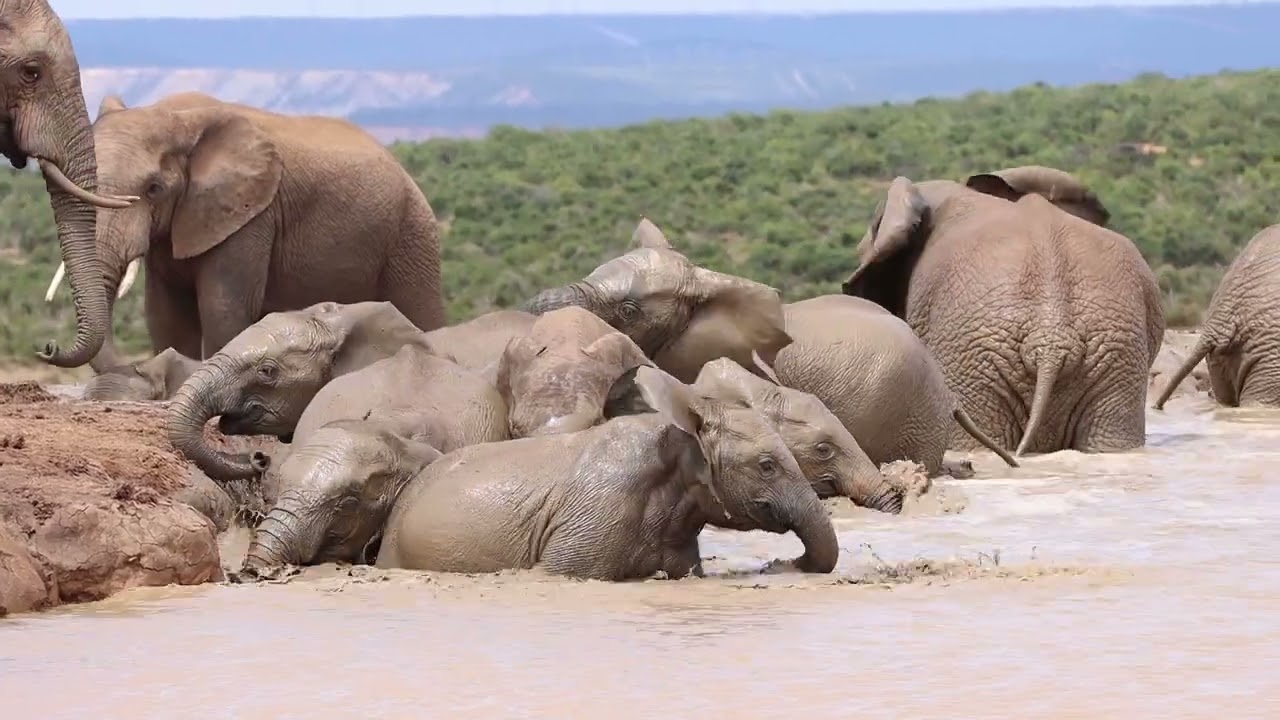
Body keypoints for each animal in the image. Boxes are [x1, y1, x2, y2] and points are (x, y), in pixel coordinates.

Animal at [66, 91, 445, 372]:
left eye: (154, 189)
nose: (52, 349)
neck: (175, 116)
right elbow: (167, 316)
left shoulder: (252, 217)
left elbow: (223, 311)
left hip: (413, 235)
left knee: (421, 313)